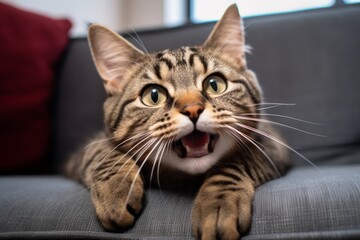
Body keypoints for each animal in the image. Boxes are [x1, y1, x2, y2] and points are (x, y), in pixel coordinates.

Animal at [64, 4, 290, 240]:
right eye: (153, 95)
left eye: (214, 84)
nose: (192, 109)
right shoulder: (85, 151)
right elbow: (102, 154)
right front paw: (116, 190)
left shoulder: (271, 143)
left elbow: (236, 163)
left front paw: (218, 203)